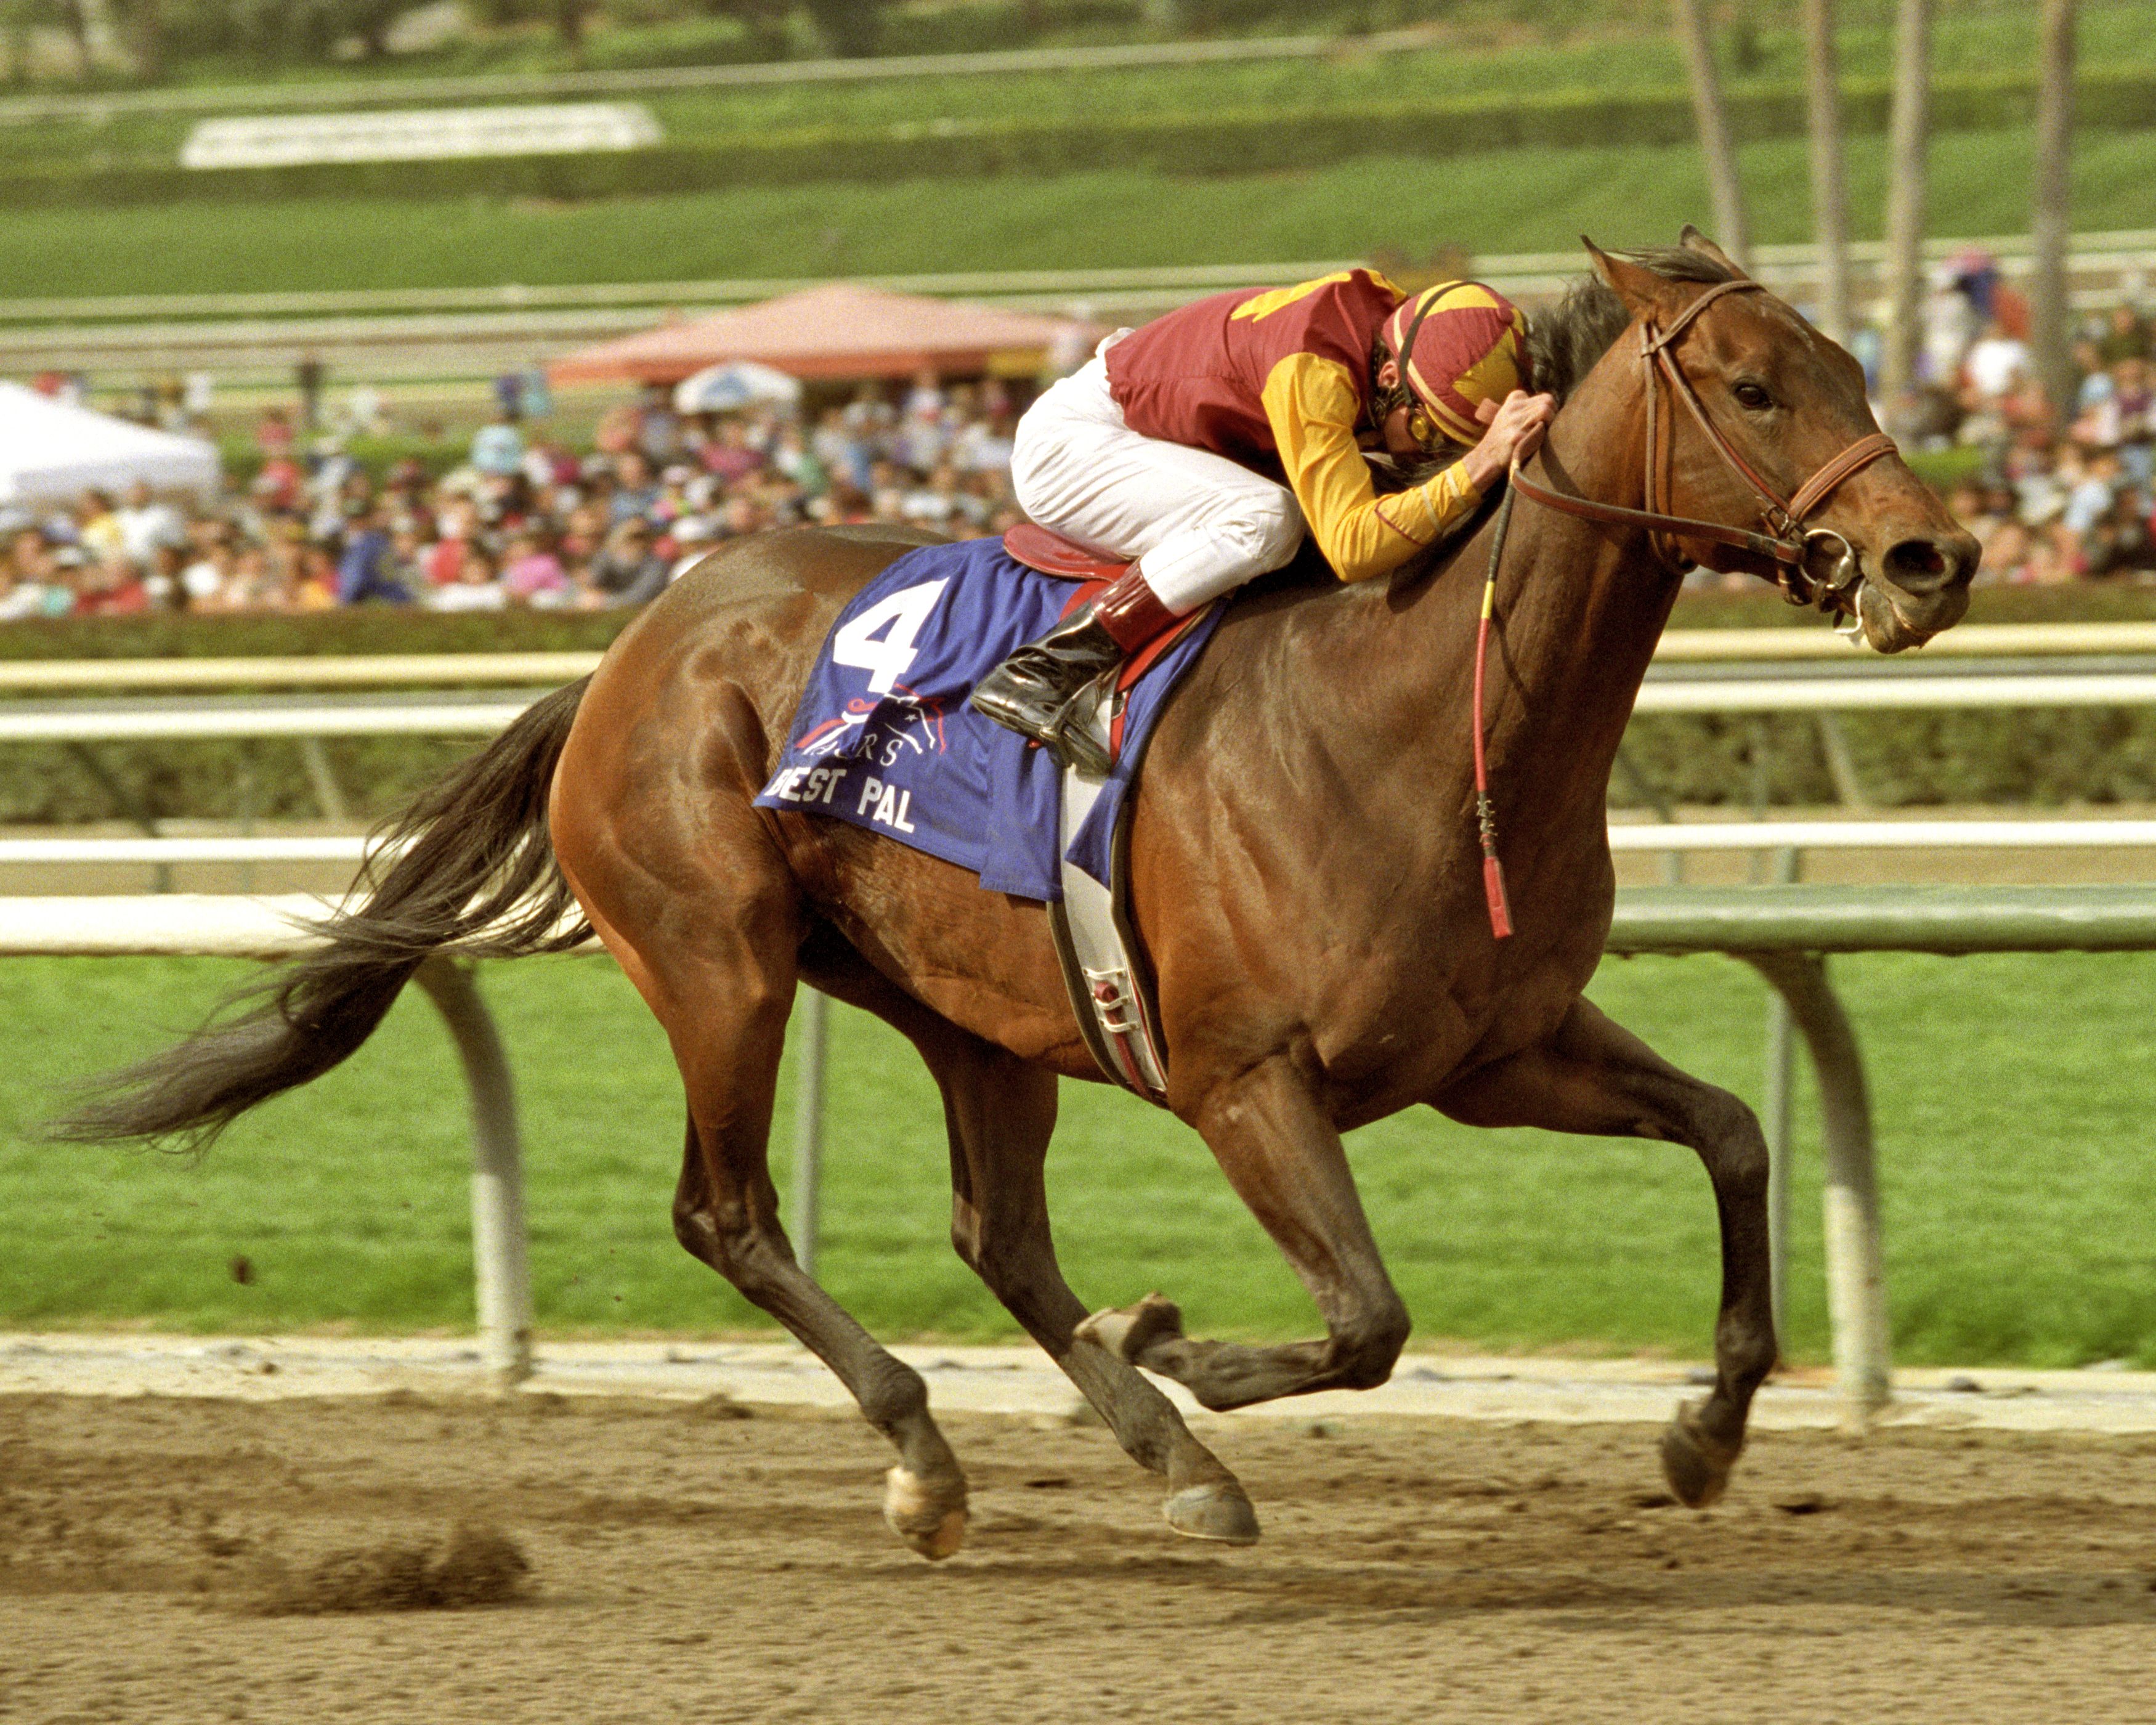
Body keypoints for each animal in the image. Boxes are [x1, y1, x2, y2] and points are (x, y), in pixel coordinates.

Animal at [59, 236, 1975, 1552]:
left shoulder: (1495, 1052)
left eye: (1854, 362)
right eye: (1753, 388)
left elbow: (1734, 1134)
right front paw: (1191, 1347)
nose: (1929, 556)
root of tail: (628, 650)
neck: (1425, 720)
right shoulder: (1244, 1077)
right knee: (728, 1216)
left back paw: (1169, 1461)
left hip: (968, 1009)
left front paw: (1702, 1433)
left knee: (998, 1236)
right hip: (719, 956)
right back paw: (935, 1456)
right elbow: (1367, 1319)